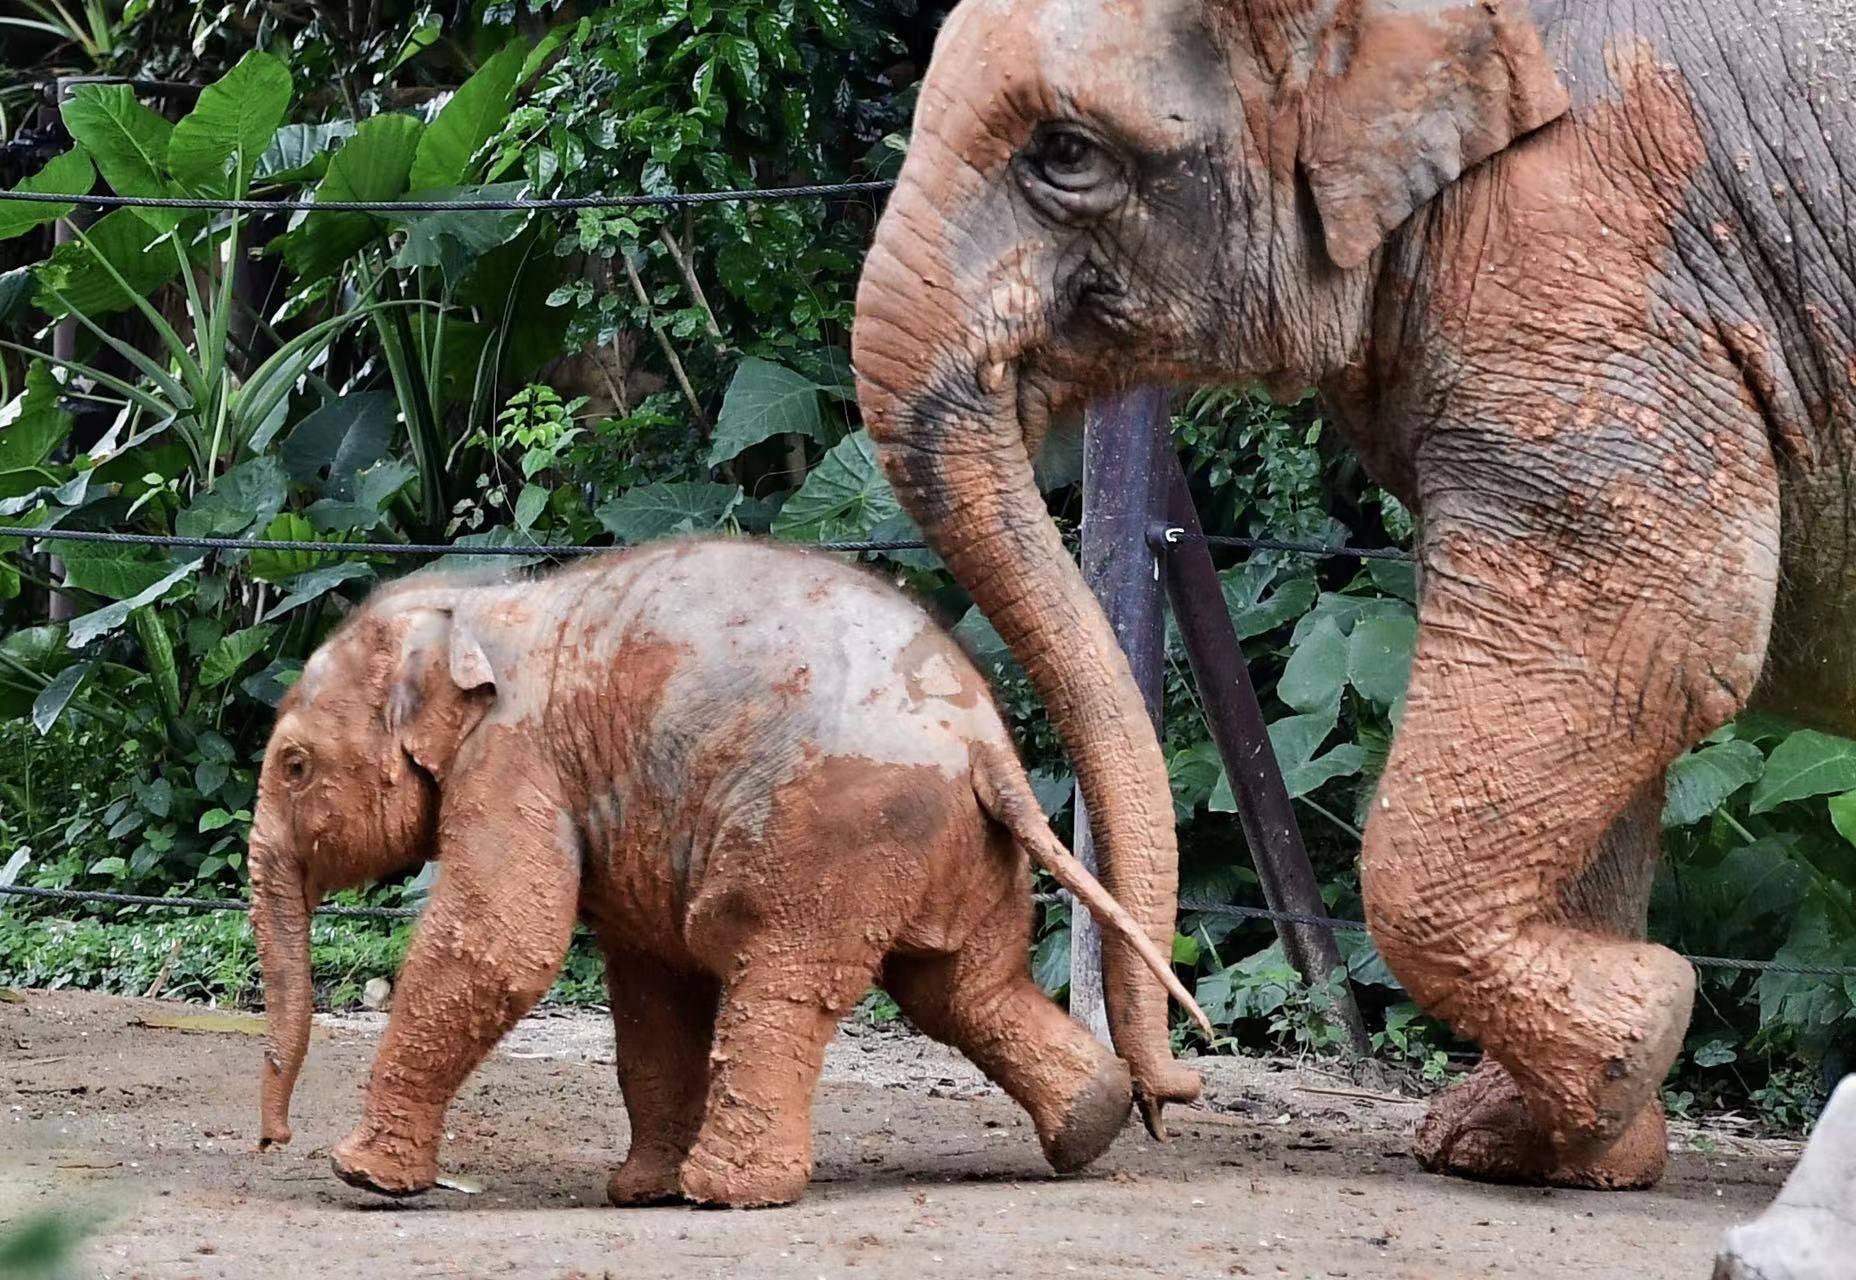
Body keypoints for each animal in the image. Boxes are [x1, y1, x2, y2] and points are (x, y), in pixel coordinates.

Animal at [250, 534, 1202, 1202]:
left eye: (294, 765)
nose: (273, 1141)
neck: (468, 607)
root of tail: (983, 742)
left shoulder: (516, 761)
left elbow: (501, 946)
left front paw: (362, 1179)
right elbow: (651, 979)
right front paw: (639, 1194)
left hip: (831, 839)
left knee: (779, 978)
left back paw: (728, 1194)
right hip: (952, 846)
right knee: (965, 988)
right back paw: (1090, 1125)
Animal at [850, 0, 1848, 1209]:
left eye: (1066, 152)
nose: (1168, 1093)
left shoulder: (1591, 254)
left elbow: (1655, 619)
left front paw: (1644, 1018)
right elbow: (1623, 688)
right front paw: (1537, 1145)